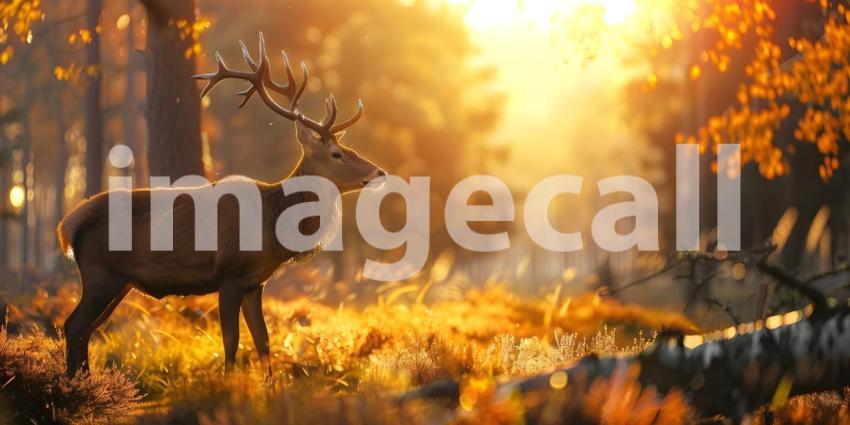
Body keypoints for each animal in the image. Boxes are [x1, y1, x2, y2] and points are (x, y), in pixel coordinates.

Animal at [57, 33, 386, 377]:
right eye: (336, 154)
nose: (380, 172)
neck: (273, 225)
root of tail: (68, 224)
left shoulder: (255, 283)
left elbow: (264, 342)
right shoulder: (229, 276)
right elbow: (231, 342)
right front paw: (228, 383)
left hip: (120, 282)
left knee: (87, 330)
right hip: (100, 275)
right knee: (73, 325)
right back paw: (74, 383)